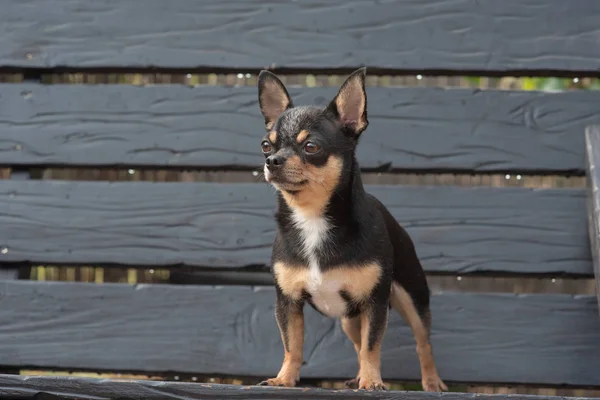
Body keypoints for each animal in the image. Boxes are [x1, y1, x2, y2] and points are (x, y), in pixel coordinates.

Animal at [253, 68, 446, 390]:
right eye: (266, 145)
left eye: (311, 147)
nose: (272, 161)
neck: (312, 217)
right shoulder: (288, 303)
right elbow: (292, 344)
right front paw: (284, 379)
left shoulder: (375, 304)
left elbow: (372, 345)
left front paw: (372, 382)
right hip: (348, 319)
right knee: (357, 343)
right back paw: (356, 376)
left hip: (412, 297)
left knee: (423, 342)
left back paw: (431, 383)